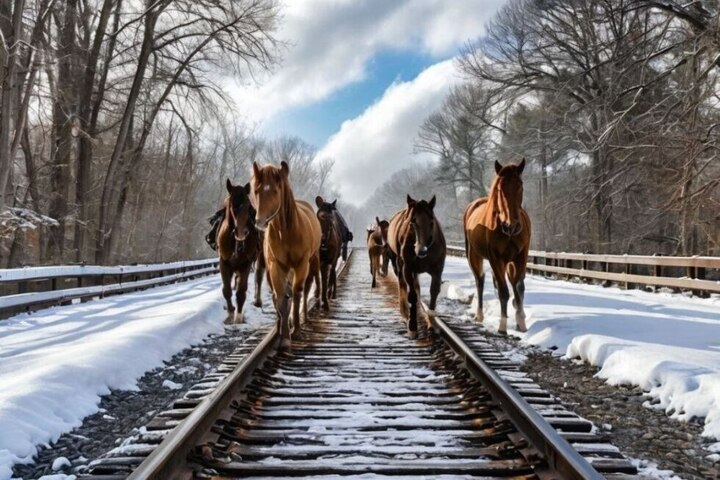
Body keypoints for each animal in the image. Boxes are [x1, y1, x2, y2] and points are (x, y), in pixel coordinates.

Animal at [219, 179, 268, 322]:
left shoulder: (246, 263)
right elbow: (226, 290)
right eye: (231, 204)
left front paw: (239, 316)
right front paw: (230, 312)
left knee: (258, 276)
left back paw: (258, 301)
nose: (241, 233)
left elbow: (241, 291)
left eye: (248, 205)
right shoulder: (224, 263)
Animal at [252, 160, 322, 344]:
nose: (259, 222)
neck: (286, 232)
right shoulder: (277, 266)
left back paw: (303, 318)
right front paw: (283, 337)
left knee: (305, 289)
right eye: (256, 190)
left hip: (311, 262)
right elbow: (282, 297)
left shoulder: (301, 264)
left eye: (275, 191)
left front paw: (296, 330)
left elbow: (297, 293)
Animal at [388, 193, 444, 336]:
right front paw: (412, 326)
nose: (421, 250)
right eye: (412, 222)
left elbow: (434, 292)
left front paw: (432, 323)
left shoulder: (437, 270)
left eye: (431, 222)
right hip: (399, 263)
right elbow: (412, 295)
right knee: (402, 284)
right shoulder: (408, 268)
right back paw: (405, 312)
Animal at [464, 158, 532, 334]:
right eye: (500, 188)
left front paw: (521, 322)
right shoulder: (496, 259)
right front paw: (502, 326)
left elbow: (519, 287)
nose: (512, 225)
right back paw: (479, 315)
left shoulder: (521, 256)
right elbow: (503, 292)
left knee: (513, 284)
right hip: (473, 256)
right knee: (480, 281)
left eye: (520, 185)